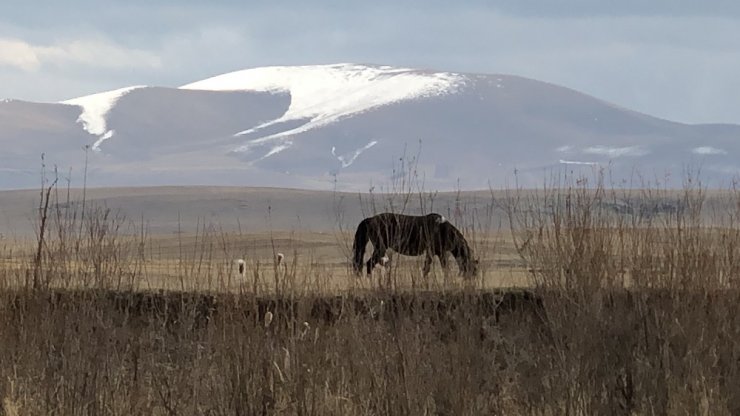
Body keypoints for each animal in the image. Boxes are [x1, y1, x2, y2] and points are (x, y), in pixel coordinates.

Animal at [352, 213, 480, 278]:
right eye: (473, 269)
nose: (471, 281)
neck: (442, 229)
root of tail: (369, 220)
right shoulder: (436, 252)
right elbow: (438, 269)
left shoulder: (435, 253)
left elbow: (430, 269)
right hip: (380, 248)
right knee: (369, 264)